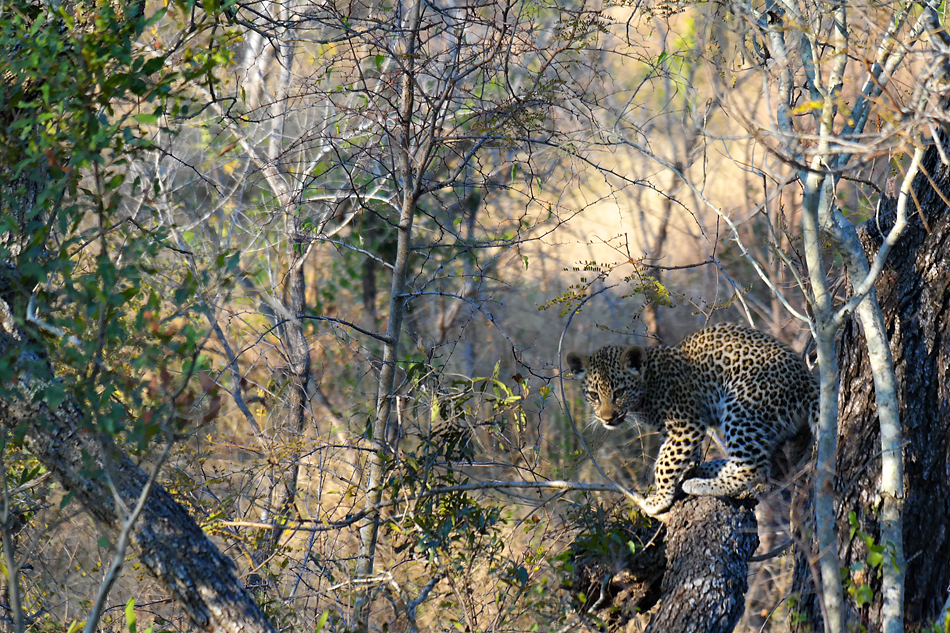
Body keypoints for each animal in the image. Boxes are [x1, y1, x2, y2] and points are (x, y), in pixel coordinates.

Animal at [564, 324, 820, 516]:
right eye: (593, 395)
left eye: (619, 392)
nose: (607, 418)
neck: (648, 383)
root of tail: (807, 380)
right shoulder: (675, 432)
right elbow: (676, 455)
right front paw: (683, 471)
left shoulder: (686, 426)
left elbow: (664, 463)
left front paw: (658, 499)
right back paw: (708, 469)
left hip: (742, 407)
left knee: (754, 469)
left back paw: (700, 483)